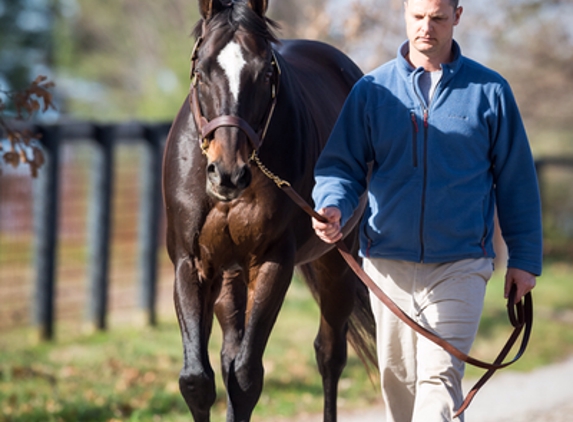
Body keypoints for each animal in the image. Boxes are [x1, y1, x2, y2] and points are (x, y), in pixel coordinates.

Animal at [161, 1, 376, 420]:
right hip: (229, 276)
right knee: (228, 355)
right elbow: (197, 380)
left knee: (330, 355)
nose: (228, 173)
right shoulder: (190, 263)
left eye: (265, 73)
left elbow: (246, 379)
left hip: (337, 263)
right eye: (201, 70)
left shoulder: (272, 262)